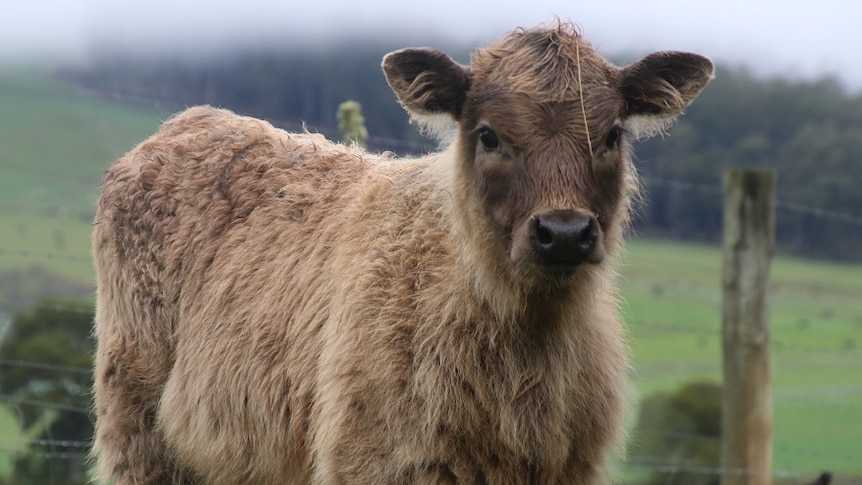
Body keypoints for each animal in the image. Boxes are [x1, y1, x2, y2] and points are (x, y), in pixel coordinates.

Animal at [94, 20, 716, 482]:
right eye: (488, 134)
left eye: (611, 135)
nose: (563, 232)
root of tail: (191, 120)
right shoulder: (377, 460)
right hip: (135, 427)